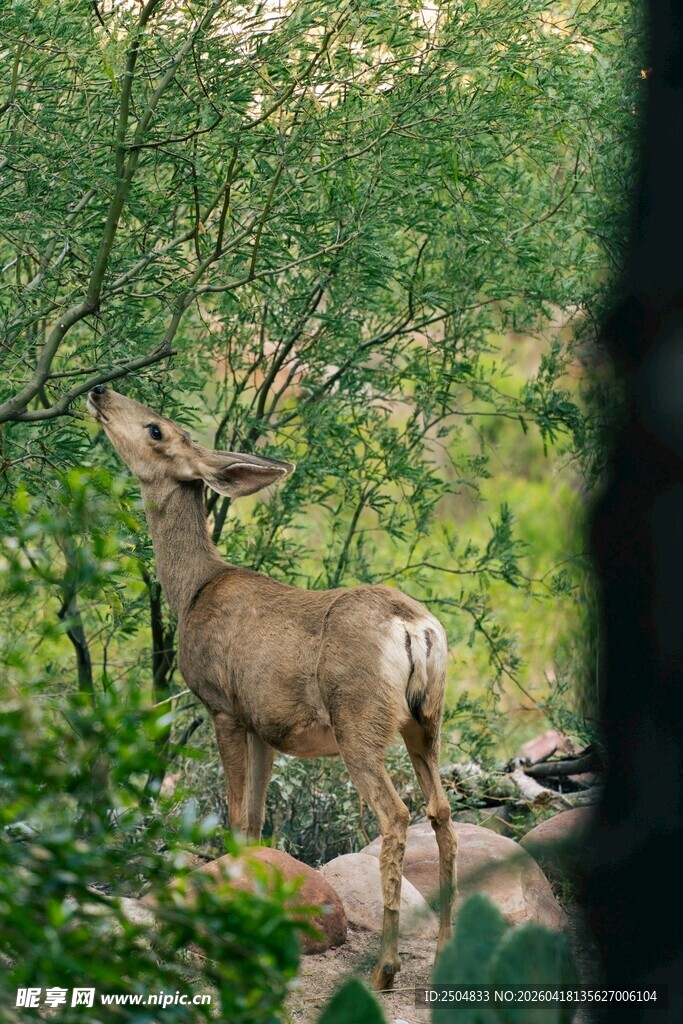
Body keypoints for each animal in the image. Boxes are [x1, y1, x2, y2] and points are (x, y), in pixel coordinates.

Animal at [87, 383, 457, 990]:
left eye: (156, 429)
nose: (99, 390)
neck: (192, 590)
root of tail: (415, 628)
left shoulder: (224, 706)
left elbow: (237, 818)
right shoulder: (265, 725)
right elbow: (257, 821)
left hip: (358, 719)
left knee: (396, 814)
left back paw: (385, 968)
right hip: (426, 719)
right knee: (442, 811)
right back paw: (447, 947)